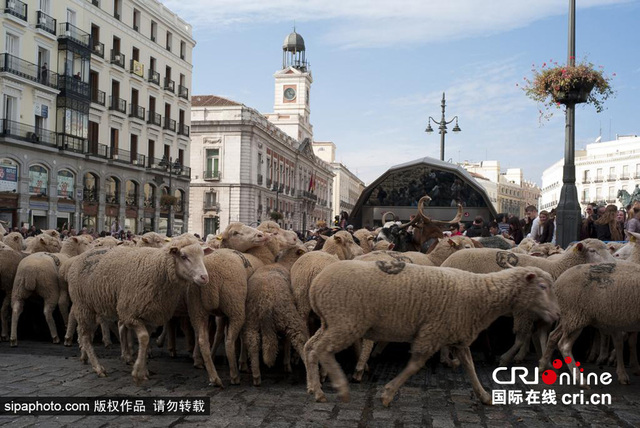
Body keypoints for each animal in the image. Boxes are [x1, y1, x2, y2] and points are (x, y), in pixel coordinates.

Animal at [67, 236, 210, 382]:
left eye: (202, 255)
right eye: (183, 256)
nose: (205, 277)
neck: (157, 268)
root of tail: (78, 258)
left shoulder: (150, 317)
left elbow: (146, 342)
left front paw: (144, 369)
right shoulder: (130, 314)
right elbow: (144, 338)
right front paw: (138, 372)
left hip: (92, 307)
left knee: (87, 333)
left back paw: (85, 357)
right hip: (83, 306)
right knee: (85, 336)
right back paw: (98, 368)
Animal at [304, 260, 560, 404]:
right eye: (542, 287)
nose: (558, 315)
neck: (481, 294)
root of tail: (315, 285)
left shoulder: (457, 335)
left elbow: (470, 367)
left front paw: (484, 396)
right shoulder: (432, 332)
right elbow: (415, 365)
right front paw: (388, 394)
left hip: (330, 322)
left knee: (310, 349)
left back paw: (314, 388)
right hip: (345, 322)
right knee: (321, 350)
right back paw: (338, 388)